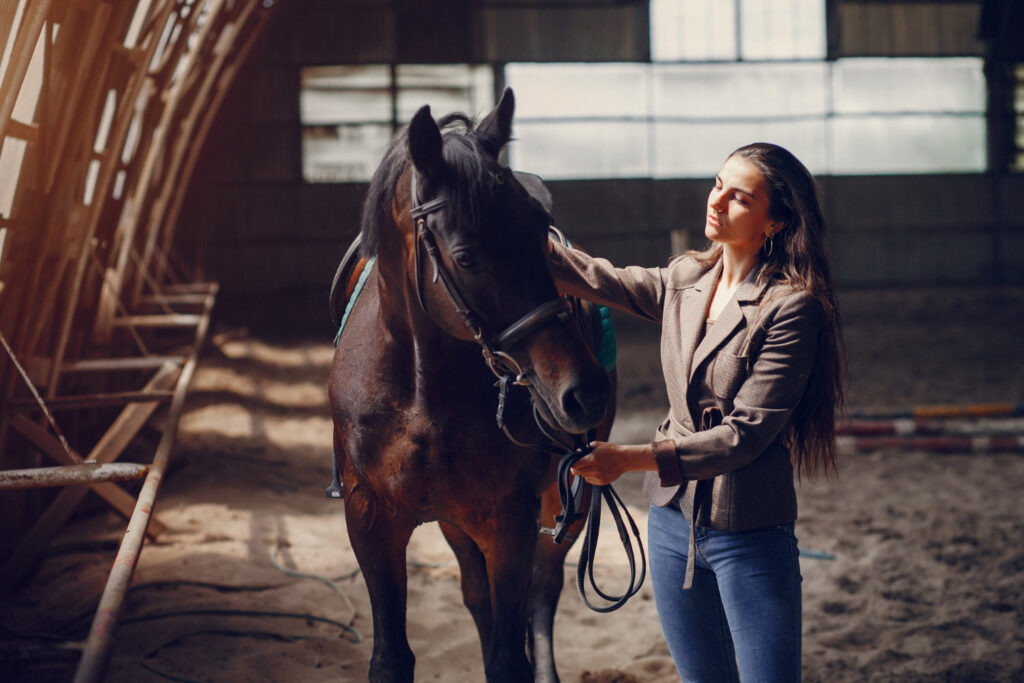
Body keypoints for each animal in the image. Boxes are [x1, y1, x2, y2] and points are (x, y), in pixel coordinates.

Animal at [331, 88, 610, 679]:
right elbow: (392, 657)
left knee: (542, 592)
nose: (585, 393)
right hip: (457, 522)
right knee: (478, 595)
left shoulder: (510, 519)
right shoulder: (369, 520)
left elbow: (510, 654)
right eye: (466, 257)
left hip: (562, 503)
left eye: (539, 232)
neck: (420, 394)